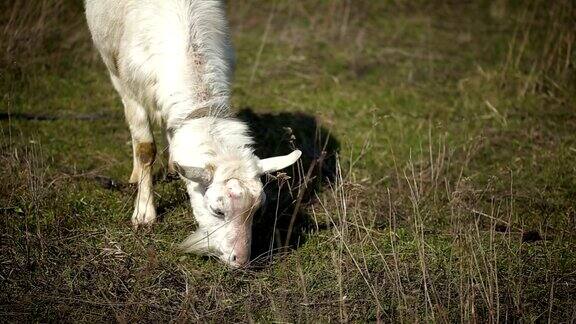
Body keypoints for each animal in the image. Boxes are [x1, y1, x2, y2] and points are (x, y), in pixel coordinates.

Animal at [86, 1, 302, 268]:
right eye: (218, 211)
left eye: (257, 210)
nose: (240, 261)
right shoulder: (134, 90)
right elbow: (145, 148)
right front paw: (144, 213)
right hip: (113, 66)